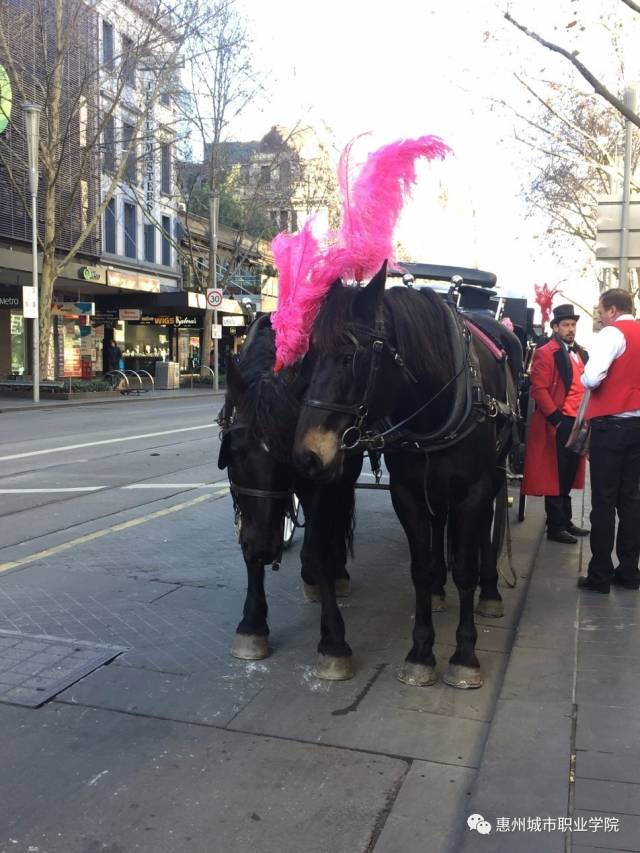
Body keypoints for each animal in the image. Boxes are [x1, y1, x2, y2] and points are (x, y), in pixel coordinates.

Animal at [218, 314, 360, 664]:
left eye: (288, 456)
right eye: (235, 452)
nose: (265, 549)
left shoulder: (318, 476)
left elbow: (321, 546)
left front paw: (333, 640)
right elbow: (248, 547)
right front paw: (252, 624)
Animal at [292, 262, 524, 688]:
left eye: (351, 357)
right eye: (310, 356)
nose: (306, 455)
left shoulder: (474, 490)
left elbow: (465, 566)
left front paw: (464, 655)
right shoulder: (409, 492)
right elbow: (421, 567)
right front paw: (421, 651)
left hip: (496, 474)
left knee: (487, 532)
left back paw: (490, 593)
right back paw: (439, 591)